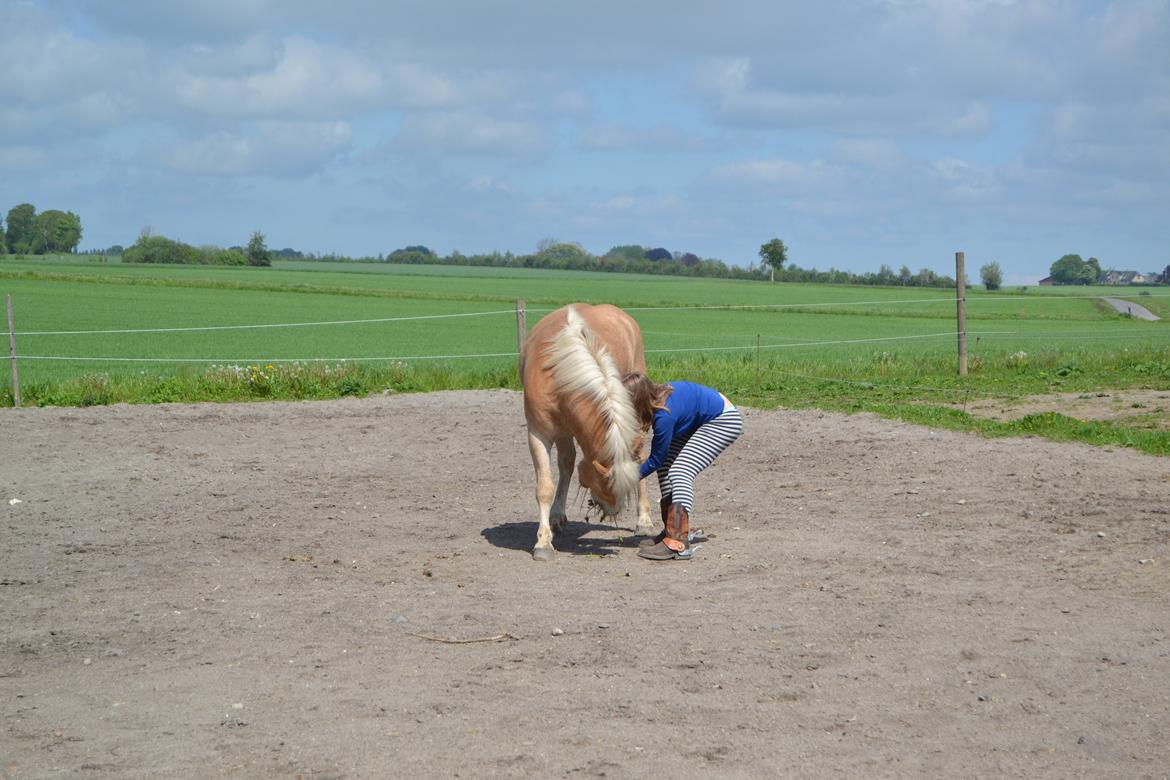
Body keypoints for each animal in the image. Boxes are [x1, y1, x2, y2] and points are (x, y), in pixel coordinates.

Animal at [521, 301, 659, 558]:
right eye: (602, 483)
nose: (612, 511)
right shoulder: (539, 433)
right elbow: (545, 486)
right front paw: (543, 543)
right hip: (564, 433)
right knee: (566, 464)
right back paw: (556, 516)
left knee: (642, 456)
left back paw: (643, 521)